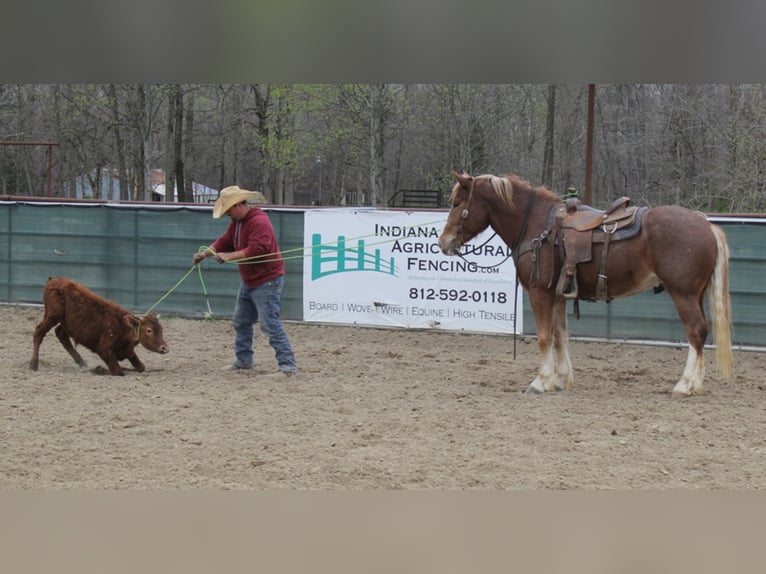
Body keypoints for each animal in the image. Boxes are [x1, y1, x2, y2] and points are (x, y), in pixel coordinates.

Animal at [29, 280, 170, 378]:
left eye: (161, 329)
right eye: (149, 330)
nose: (165, 348)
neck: (122, 326)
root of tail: (52, 280)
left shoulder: (127, 351)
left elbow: (141, 367)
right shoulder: (104, 349)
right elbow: (118, 371)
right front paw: (99, 369)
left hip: (68, 324)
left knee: (61, 334)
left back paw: (82, 363)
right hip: (52, 315)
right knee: (39, 332)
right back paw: (33, 364)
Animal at [438, 173, 732, 398]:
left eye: (456, 203)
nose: (443, 242)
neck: (536, 226)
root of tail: (705, 224)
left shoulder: (540, 293)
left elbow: (544, 337)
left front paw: (540, 381)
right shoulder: (558, 295)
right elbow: (560, 335)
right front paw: (560, 379)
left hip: (683, 294)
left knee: (695, 331)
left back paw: (684, 385)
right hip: (696, 294)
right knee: (702, 332)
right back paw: (696, 384)